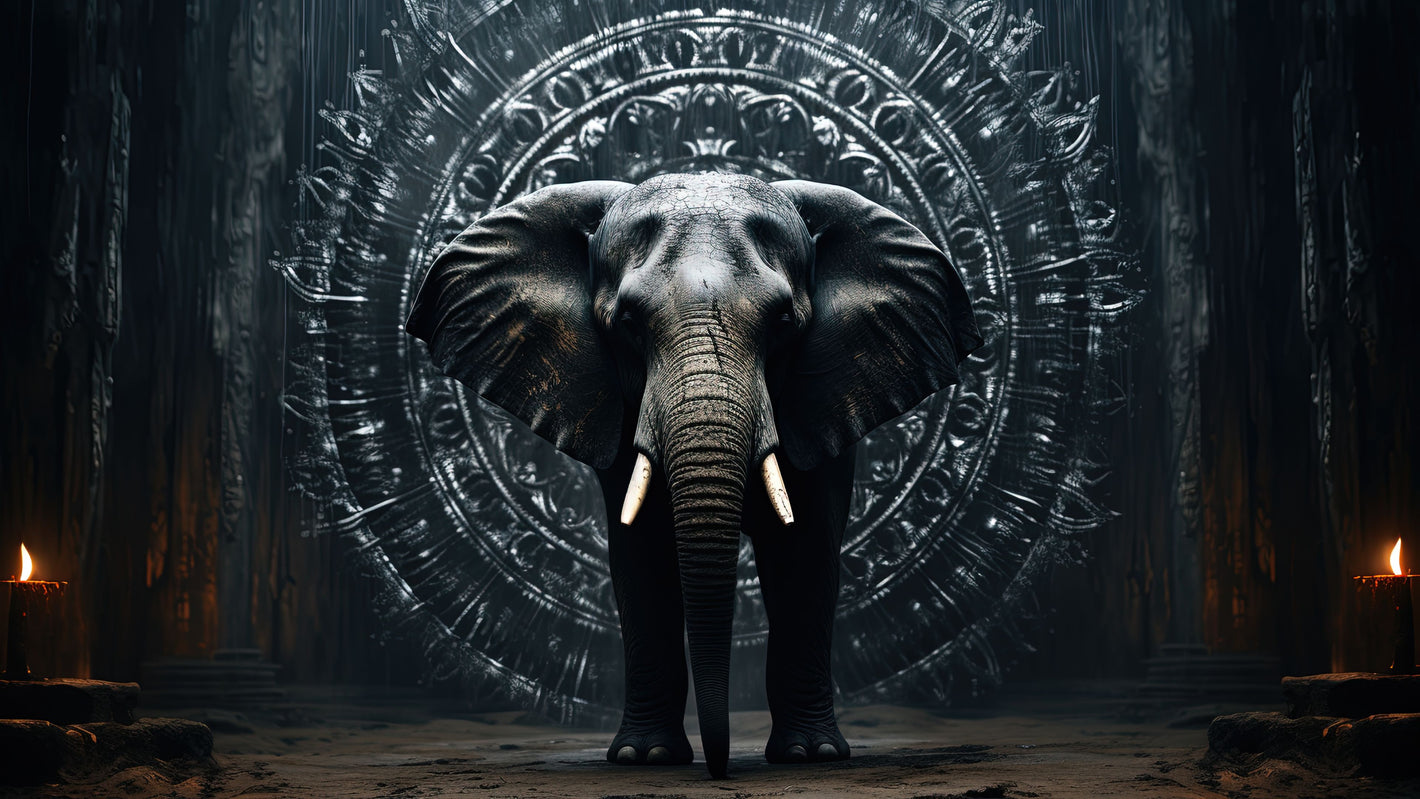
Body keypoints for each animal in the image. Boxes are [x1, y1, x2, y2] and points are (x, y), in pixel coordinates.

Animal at [405, 172, 981, 778]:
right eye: (627, 322)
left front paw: (812, 757)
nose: (719, 768)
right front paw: (645, 758)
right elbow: (641, 554)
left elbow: (802, 555)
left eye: (784, 322)